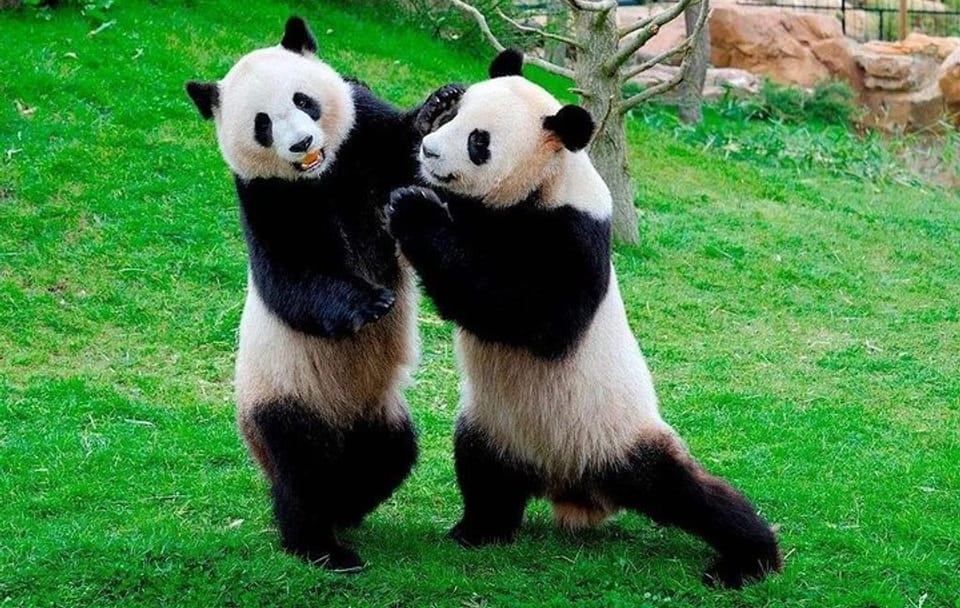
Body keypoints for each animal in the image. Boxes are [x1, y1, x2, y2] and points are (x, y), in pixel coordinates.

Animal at [185, 17, 460, 571]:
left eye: (304, 100)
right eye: (263, 124)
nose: (301, 144)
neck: (323, 173)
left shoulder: (363, 135)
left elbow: (407, 158)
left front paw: (439, 108)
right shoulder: (266, 195)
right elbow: (290, 276)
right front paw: (371, 303)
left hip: (378, 412)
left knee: (389, 454)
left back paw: (346, 508)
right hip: (283, 392)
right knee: (301, 469)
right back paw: (320, 544)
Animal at [387, 49, 783, 588]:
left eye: (478, 141)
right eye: (455, 118)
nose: (429, 152)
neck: (541, 183)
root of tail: (572, 484)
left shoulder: (575, 231)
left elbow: (537, 317)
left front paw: (414, 210)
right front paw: (427, 112)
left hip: (616, 434)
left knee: (692, 494)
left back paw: (748, 559)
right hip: (494, 425)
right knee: (483, 474)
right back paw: (477, 531)